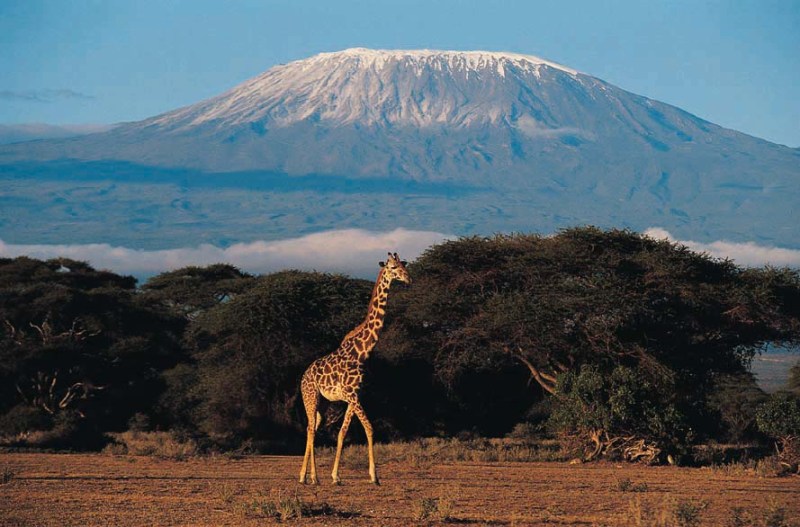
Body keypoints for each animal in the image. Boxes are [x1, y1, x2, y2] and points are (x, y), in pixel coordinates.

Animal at [300, 253, 412, 486]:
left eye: (404, 265)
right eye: (393, 267)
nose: (408, 279)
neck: (362, 351)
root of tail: (303, 376)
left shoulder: (354, 396)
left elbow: (343, 432)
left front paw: (337, 475)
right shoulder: (352, 396)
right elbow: (369, 427)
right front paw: (373, 476)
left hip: (323, 403)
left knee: (311, 428)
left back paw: (306, 476)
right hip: (310, 397)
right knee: (311, 429)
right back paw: (311, 477)